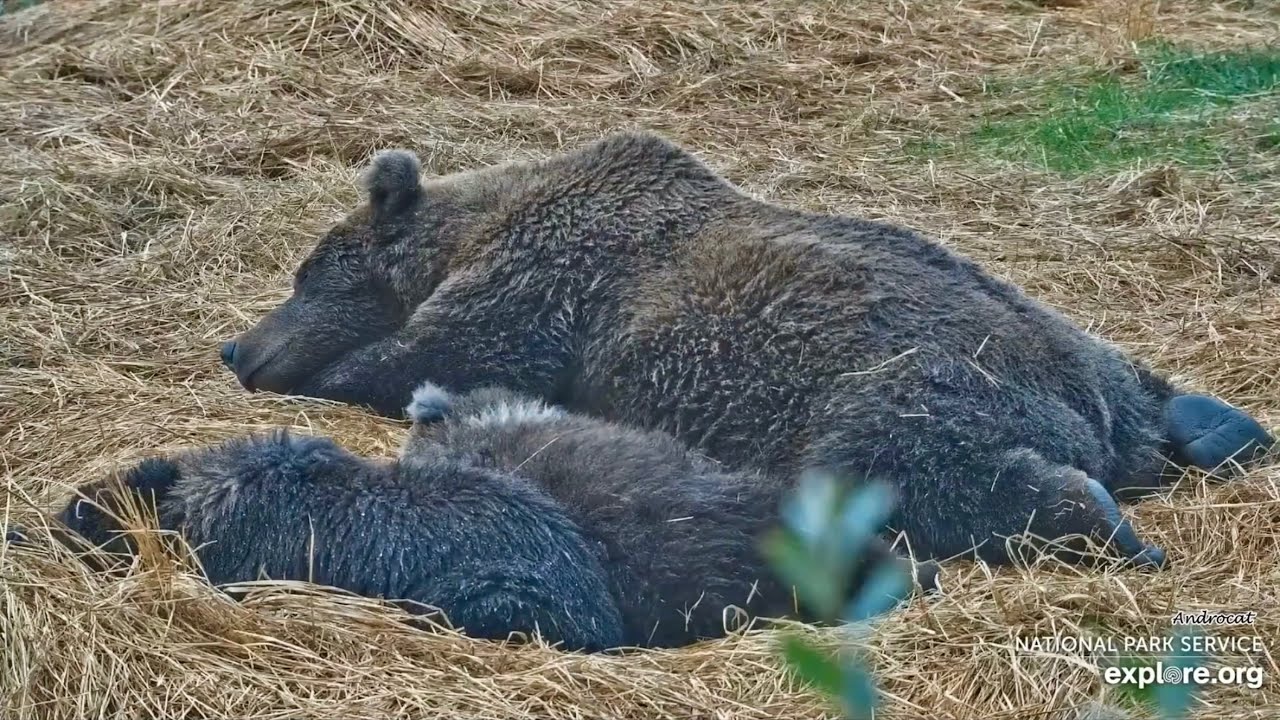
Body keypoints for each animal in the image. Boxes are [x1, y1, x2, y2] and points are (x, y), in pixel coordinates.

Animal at [219, 130, 1274, 570]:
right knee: (1136, 378)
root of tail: (1084, 419)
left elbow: (416, 360)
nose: (238, 347)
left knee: (917, 469)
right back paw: (1221, 427)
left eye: (308, 271)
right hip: (1066, 341)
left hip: (898, 395)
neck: (471, 234)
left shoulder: (536, 296)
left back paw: (1105, 521)